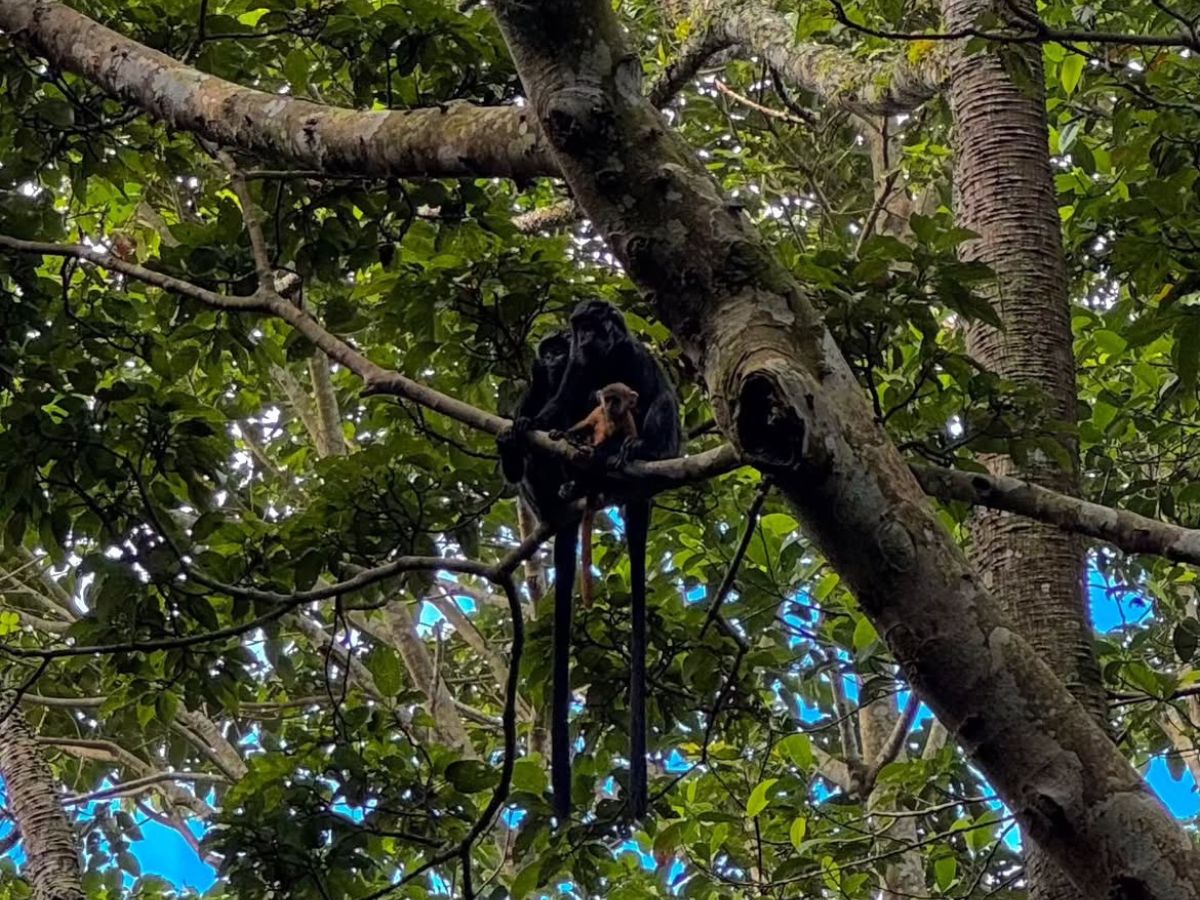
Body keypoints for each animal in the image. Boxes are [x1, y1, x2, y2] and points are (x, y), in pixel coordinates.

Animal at [553, 382, 640, 608]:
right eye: (607, 399)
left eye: (616, 400)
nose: (610, 406)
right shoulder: (596, 412)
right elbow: (584, 425)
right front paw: (564, 433)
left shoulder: (627, 418)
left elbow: (630, 436)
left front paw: (627, 447)